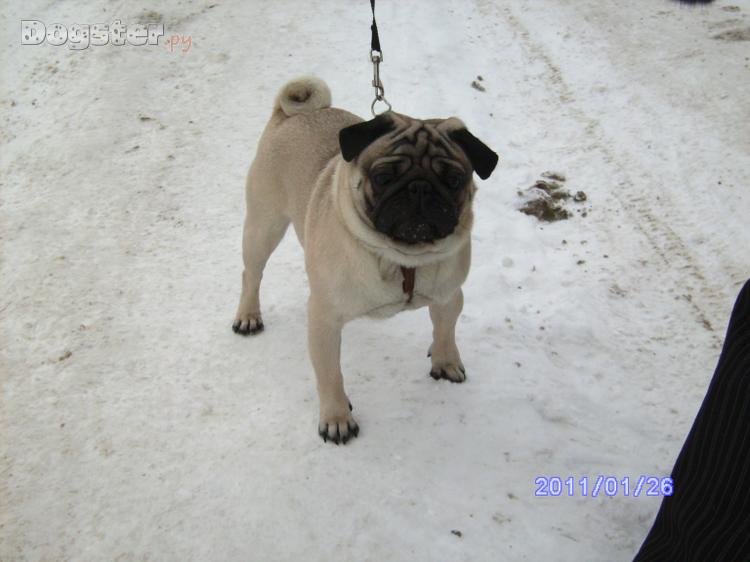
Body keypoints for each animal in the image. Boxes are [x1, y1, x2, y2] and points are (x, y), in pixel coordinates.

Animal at [233, 77, 498, 444]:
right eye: (384, 177)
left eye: (454, 180)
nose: (419, 188)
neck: (400, 258)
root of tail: (291, 114)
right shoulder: (325, 319)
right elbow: (330, 375)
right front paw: (337, 418)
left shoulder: (449, 296)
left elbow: (445, 330)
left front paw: (445, 361)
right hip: (264, 226)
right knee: (252, 274)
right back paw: (248, 316)